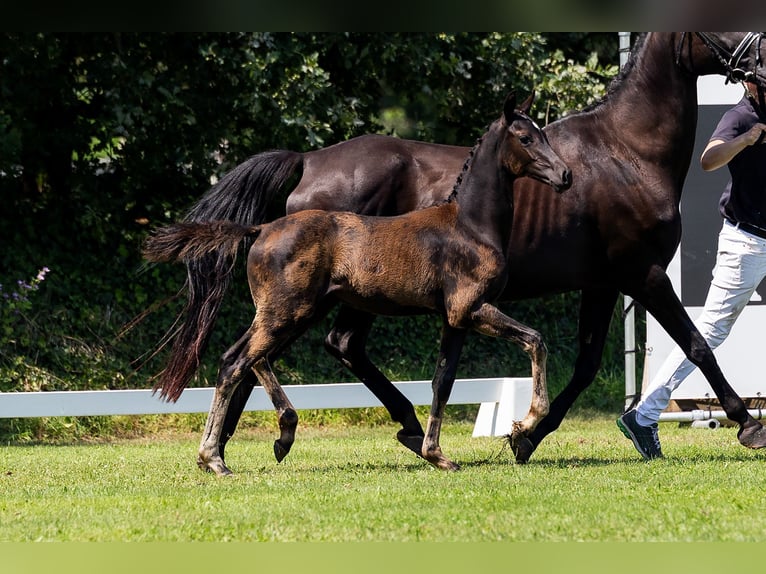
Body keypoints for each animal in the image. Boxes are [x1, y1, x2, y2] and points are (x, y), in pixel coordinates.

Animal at [144, 92, 572, 474]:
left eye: (544, 134)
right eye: (526, 137)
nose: (565, 176)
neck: (469, 226)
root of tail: (261, 228)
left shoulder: (454, 319)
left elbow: (443, 381)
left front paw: (436, 454)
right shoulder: (472, 309)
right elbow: (535, 340)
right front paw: (522, 426)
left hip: (292, 311)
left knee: (244, 357)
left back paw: (269, 438)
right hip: (289, 312)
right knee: (237, 363)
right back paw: (216, 459)